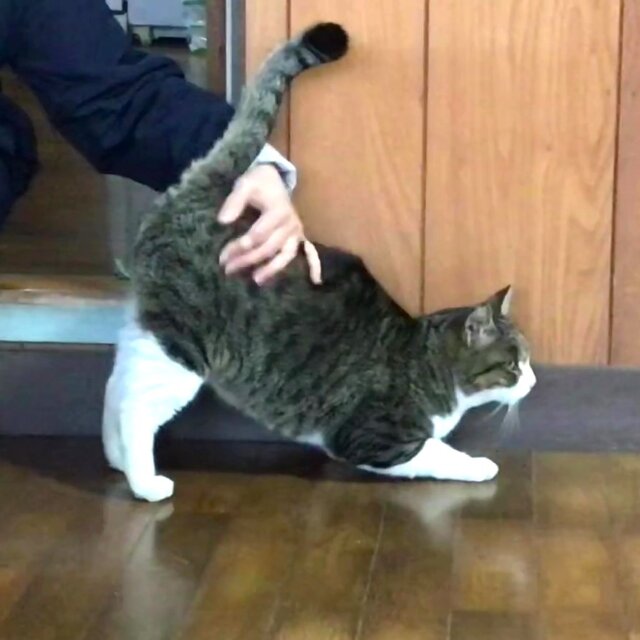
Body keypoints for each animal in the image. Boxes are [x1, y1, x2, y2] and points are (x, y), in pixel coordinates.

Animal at [102, 22, 536, 502]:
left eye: (527, 361)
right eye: (514, 365)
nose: (534, 382)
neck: (427, 360)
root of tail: (207, 186)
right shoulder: (375, 438)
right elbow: (438, 453)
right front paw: (479, 465)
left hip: (150, 331)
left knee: (115, 386)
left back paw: (116, 458)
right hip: (183, 344)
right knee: (137, 405)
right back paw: (145, 482)